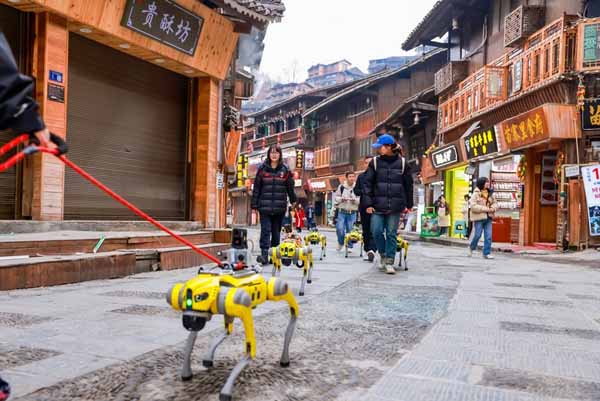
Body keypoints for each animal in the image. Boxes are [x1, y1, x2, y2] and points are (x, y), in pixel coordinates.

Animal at [166, 268, 298, 400]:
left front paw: (226, 390)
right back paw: (208, 358)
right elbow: (190, 343)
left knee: (293, 310)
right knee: (227, 330)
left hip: (276, 289)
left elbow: (250, 350)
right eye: (182, 298)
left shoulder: (241, 302)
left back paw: (284, 360)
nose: (188, 323)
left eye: (199, 297)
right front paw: (186, 374)